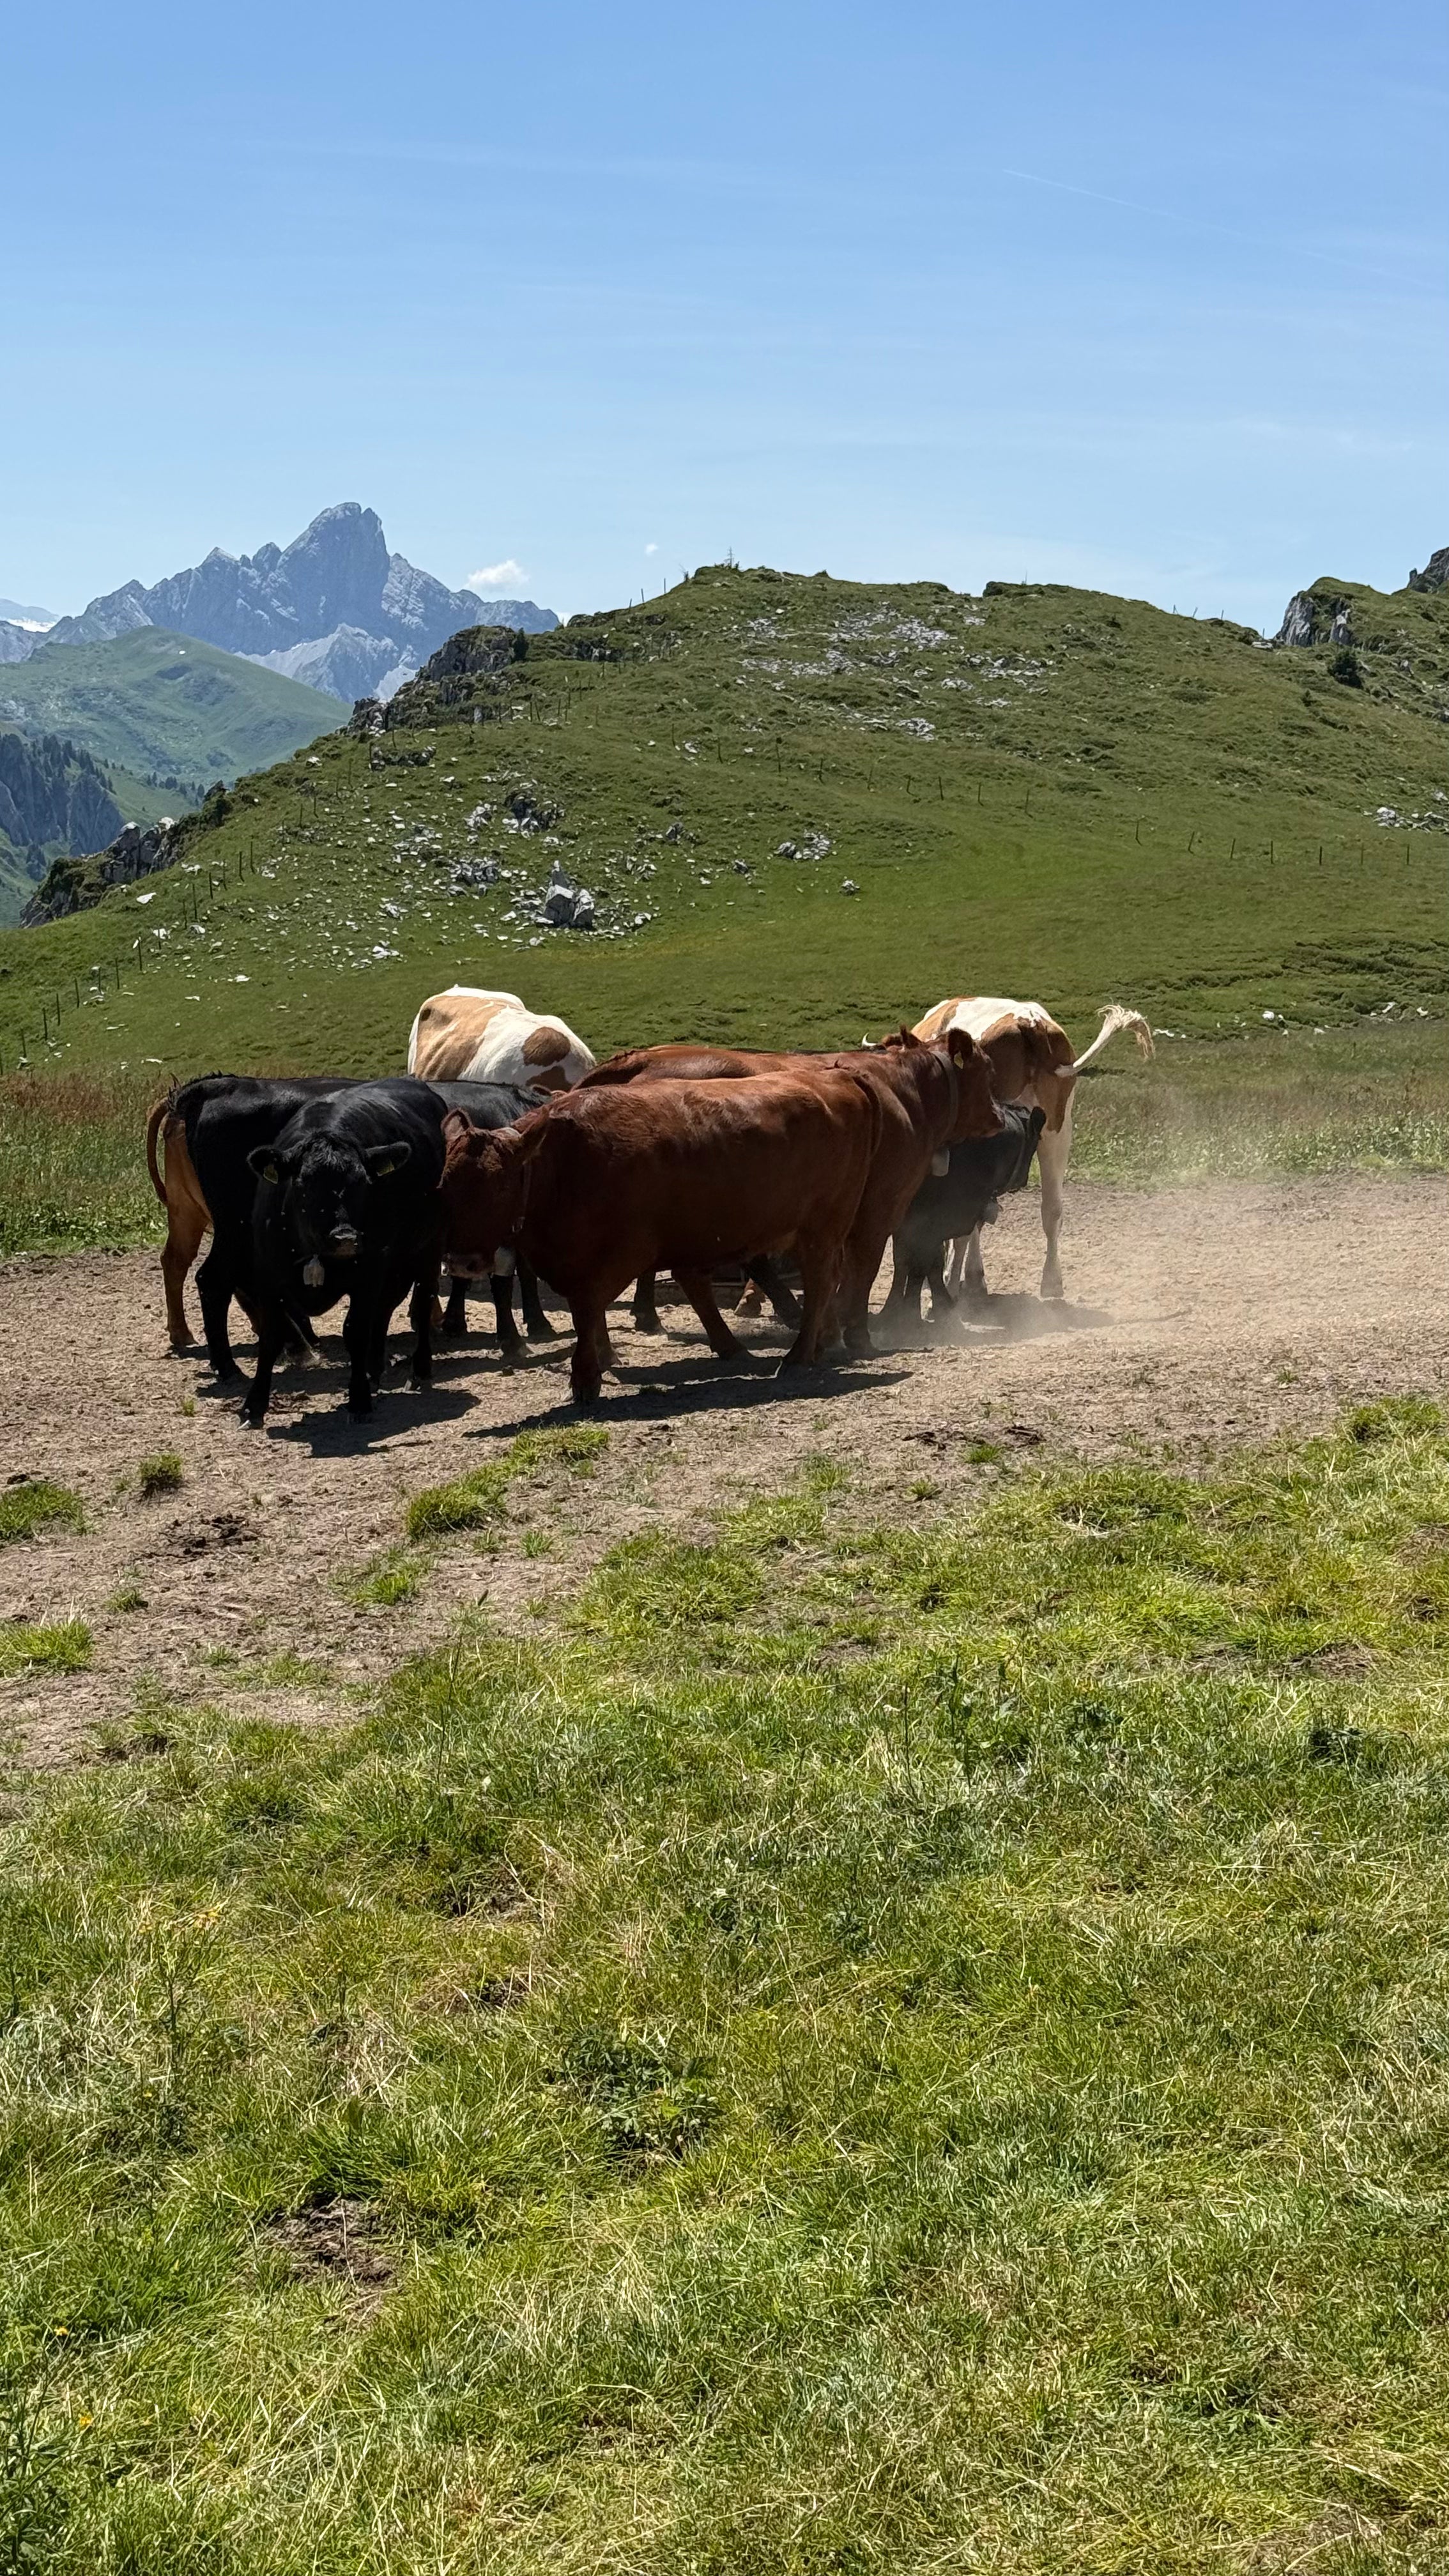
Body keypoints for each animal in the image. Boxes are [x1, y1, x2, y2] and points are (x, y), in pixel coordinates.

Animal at [242, 1079, 448, 1426]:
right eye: (303, 1184)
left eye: (364, 1183)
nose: (346, 1238)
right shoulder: (266, 1276)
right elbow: (270, 1336)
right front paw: (253, 1405)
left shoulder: (368, 1273)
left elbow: (355, 1331)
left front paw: (359, 1400)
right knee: (385, 1309)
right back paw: (374, 1369)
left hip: (428, 1249)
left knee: (420, 1304)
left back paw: (418, 1369)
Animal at [440, 1072, 888, 1406]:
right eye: (444, 1186)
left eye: (499, 1186)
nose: (461, 1262)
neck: (565, 1164)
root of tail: (835, 1077)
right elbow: (592, 1312)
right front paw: (605, 1356)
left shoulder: (621, 1255)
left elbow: (587, 1307)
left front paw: (585, 1376)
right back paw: (794, 1346)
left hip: (820, 1228)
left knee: (819, 1283)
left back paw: (797, 1356)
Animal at [579, 1030, 1003, 1356]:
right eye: (988, 1069)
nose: (999, 1116)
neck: (904, 1090)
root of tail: (642, 1059)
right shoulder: (882, 1205)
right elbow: (872, 1266)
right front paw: (861, 1330)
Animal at [883, 1104, 1046, 1325]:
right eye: (1035, 1143)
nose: (1024, 1180)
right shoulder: (947, 1215)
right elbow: (929, 1259)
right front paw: (935, 1306)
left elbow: (906, 1260)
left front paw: (895, 1310)